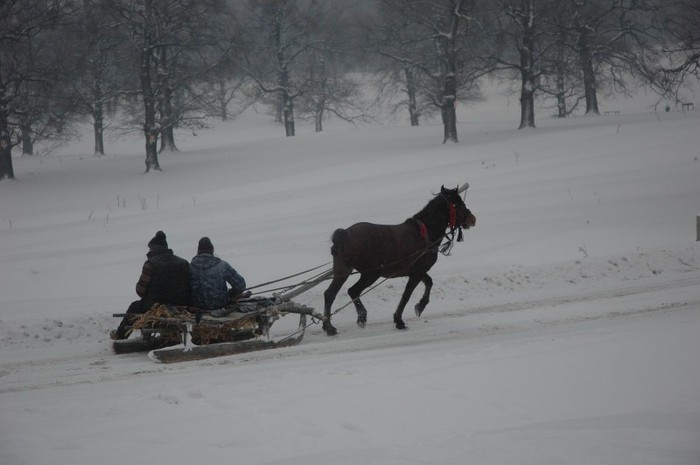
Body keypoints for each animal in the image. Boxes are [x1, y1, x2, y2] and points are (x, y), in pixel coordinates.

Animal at [322, 184, 476, 334]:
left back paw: (328, 326)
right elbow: (406, 296)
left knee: (330, 294)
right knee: (353, 291)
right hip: (371, 274)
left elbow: (429, 282)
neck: (424, 234)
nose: (472, 219)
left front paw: (420, 306)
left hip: (343, 271)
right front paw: (400, 320)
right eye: (459, 203)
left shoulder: (418, 271)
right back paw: (361, 317)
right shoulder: (417, 272)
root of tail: (345, 234)